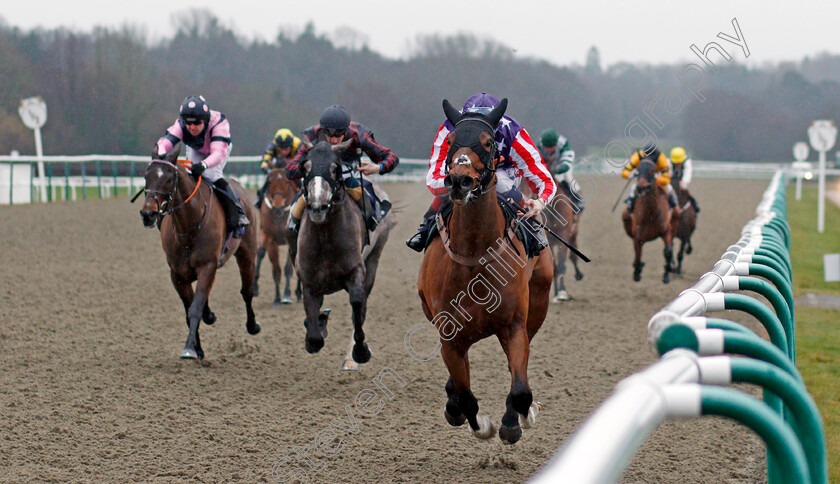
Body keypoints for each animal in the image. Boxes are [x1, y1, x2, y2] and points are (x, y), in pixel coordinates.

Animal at [139, 144, 260, 360]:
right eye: (147, 176)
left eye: (168, 179)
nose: (147, 214)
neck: (189, 226)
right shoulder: (177, 275)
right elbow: (190, 308)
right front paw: (198, 348)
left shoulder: (207, 265)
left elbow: (195, 308)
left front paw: (189, 348)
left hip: (247, 253)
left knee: (247, 291)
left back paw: (252, 325)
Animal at [254, 170, 300, 304]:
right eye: (269, 182)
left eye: (287, 182)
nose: (278, 206)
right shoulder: (270, 240)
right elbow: (276, 269)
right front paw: (277, 297)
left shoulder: (291, 241)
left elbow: (288, 269)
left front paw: (287, 294)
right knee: (260, 252)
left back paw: (298, 292)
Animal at [290, 140, 396, 364]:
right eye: (306, 168)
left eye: (334, 168)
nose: (318, 207)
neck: (325, 237)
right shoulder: (308, 280)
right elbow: (314, 335)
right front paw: (315, 332)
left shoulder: (355, 269)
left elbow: (357, 301)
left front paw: (361, 350)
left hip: (375, 255)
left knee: (362, 301)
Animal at [418, 99, 552, 446]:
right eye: (452, 140)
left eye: (489, 141)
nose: (459, 181)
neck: (475, 258)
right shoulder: (449, 336)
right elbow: (465, 395)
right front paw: (478, 423)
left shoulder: (514, 326)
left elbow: (520, 390)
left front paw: (518, 419)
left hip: (539, 302)